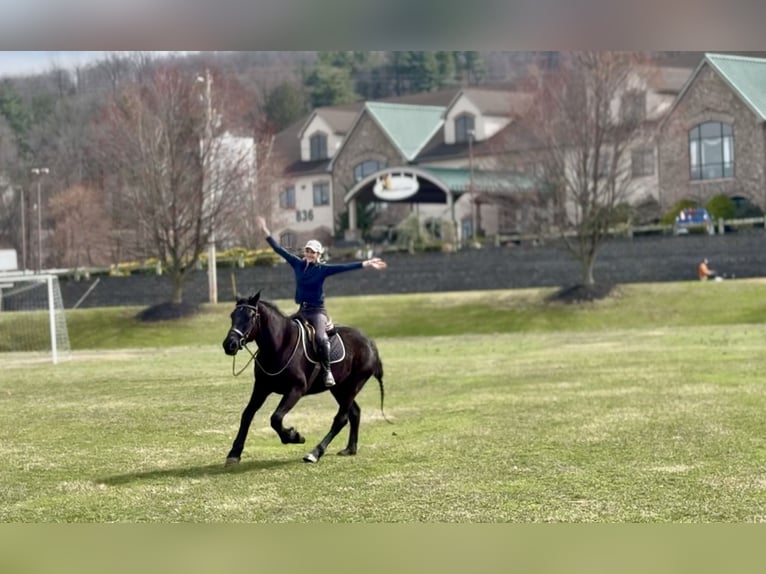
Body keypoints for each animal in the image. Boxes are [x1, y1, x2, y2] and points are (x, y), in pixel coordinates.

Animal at [221, 291, 387, 464]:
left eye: (250, 316)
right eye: (232, 315)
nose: (229, 344)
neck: (280, 345)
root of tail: (370, 342)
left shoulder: (296, 390)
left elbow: (276, 418)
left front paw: (293, 436)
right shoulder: (261, 387)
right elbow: (247, 415)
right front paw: (234, 453)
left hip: (353, 386)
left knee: (341, 419)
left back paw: (315, 452)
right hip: (339, 389)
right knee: (354, 413)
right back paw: (350, 448)